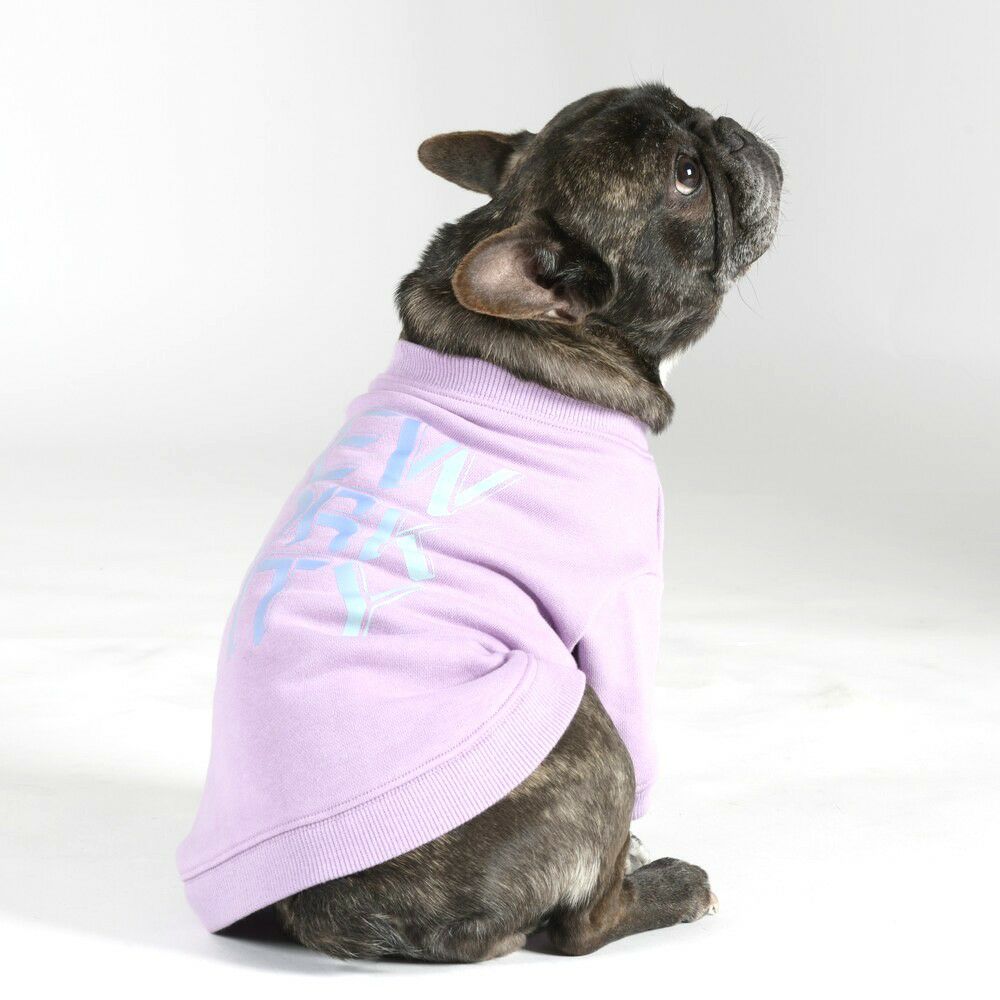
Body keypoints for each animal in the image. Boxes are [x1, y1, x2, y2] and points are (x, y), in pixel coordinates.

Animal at [177, 84, 782, 961]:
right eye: (687, 176)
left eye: (680, 106)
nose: (724, 126)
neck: (538, 343)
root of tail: (335, 914)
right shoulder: (624, 601)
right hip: (581, 723)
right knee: (580, 927)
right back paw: (667, 887)